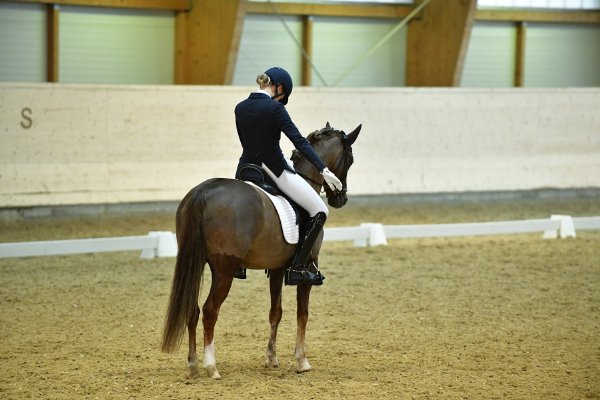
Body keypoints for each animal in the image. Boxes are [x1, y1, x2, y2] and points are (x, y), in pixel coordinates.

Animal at [159, 122, 360, 378]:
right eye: (350, 158)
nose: (340, 199)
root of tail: (202, 192)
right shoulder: (306, 268)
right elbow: (302, 314)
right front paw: (302, 360)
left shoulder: (276, 269)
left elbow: (276, 312)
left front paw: (272, 358)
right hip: (224, 270)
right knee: (210, 310)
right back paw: (211, 367)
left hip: (198, 263)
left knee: (192, 310)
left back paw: (193, 365)